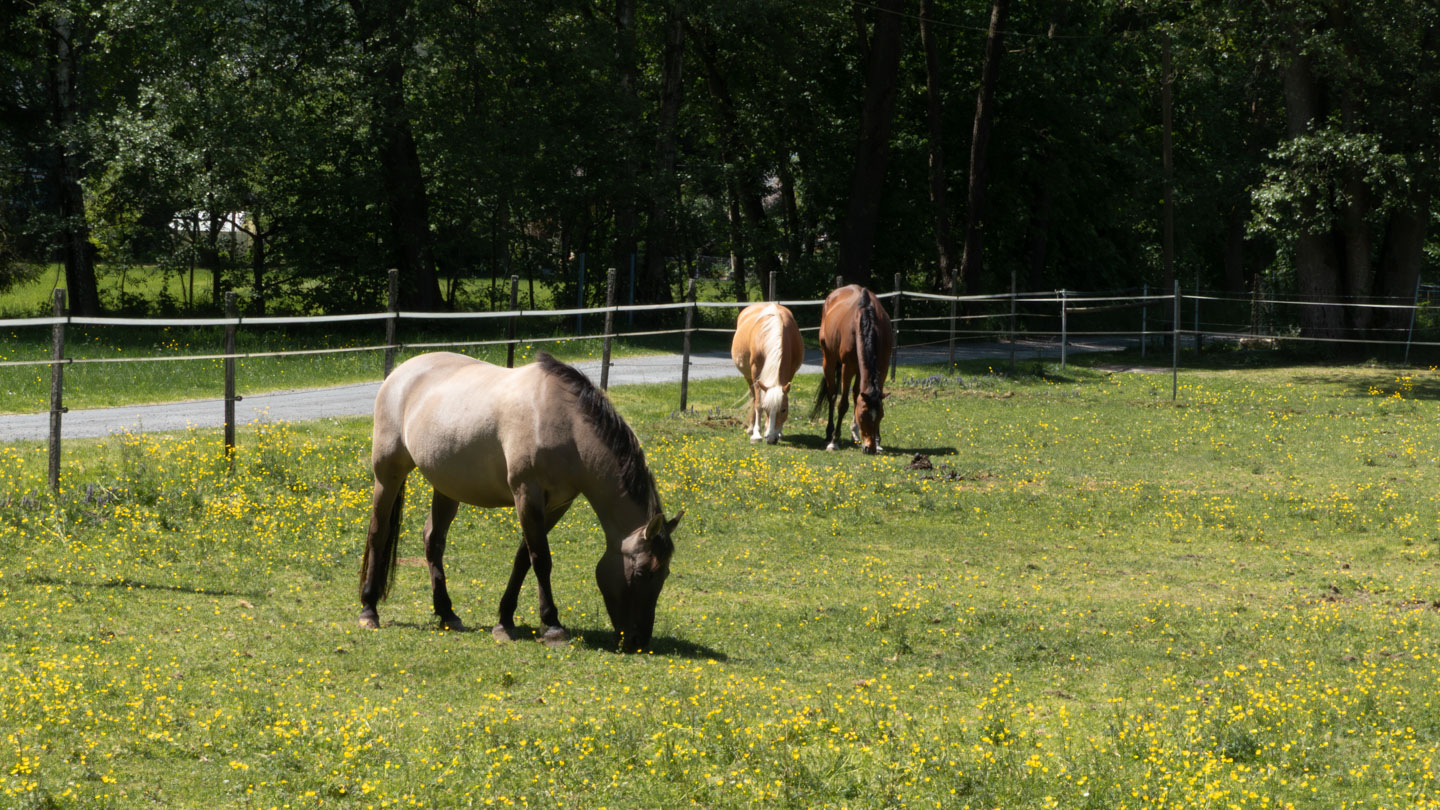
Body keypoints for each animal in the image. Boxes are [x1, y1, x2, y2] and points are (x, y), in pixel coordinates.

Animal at [357, 351, 682, 652]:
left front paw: (505, 621)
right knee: (378, 533)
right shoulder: (527, 494)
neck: (567, 425)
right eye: (642, 571)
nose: (639, 641)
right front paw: (553, 627)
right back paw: (369, 610)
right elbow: (541, 558)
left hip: (447, 486)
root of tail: (400, 372)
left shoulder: (557, 505)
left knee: (433, 541)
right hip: (388, 474)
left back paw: (447, 613)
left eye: (665, 573)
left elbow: (523, 558)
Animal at [730, 302, 805, 444]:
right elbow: (758, 403)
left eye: (783, 409)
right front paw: (756, 435)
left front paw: (780, 433)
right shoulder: (756, 372)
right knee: (754, 398)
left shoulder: (790, 372)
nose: (771, 438)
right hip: (748, 376)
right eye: (766, 409)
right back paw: (751, 428)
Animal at [813, 284, 893, 454]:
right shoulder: (847, 367)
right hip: (829, 361)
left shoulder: (883, 367)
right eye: (863, 416)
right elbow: (843, 404)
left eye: (881, 416)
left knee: (856, 393)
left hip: (859, 369)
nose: (870, 448)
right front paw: (834, 441)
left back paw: (855, 433)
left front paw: (878, 441)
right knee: (832, 396)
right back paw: (829, 433)